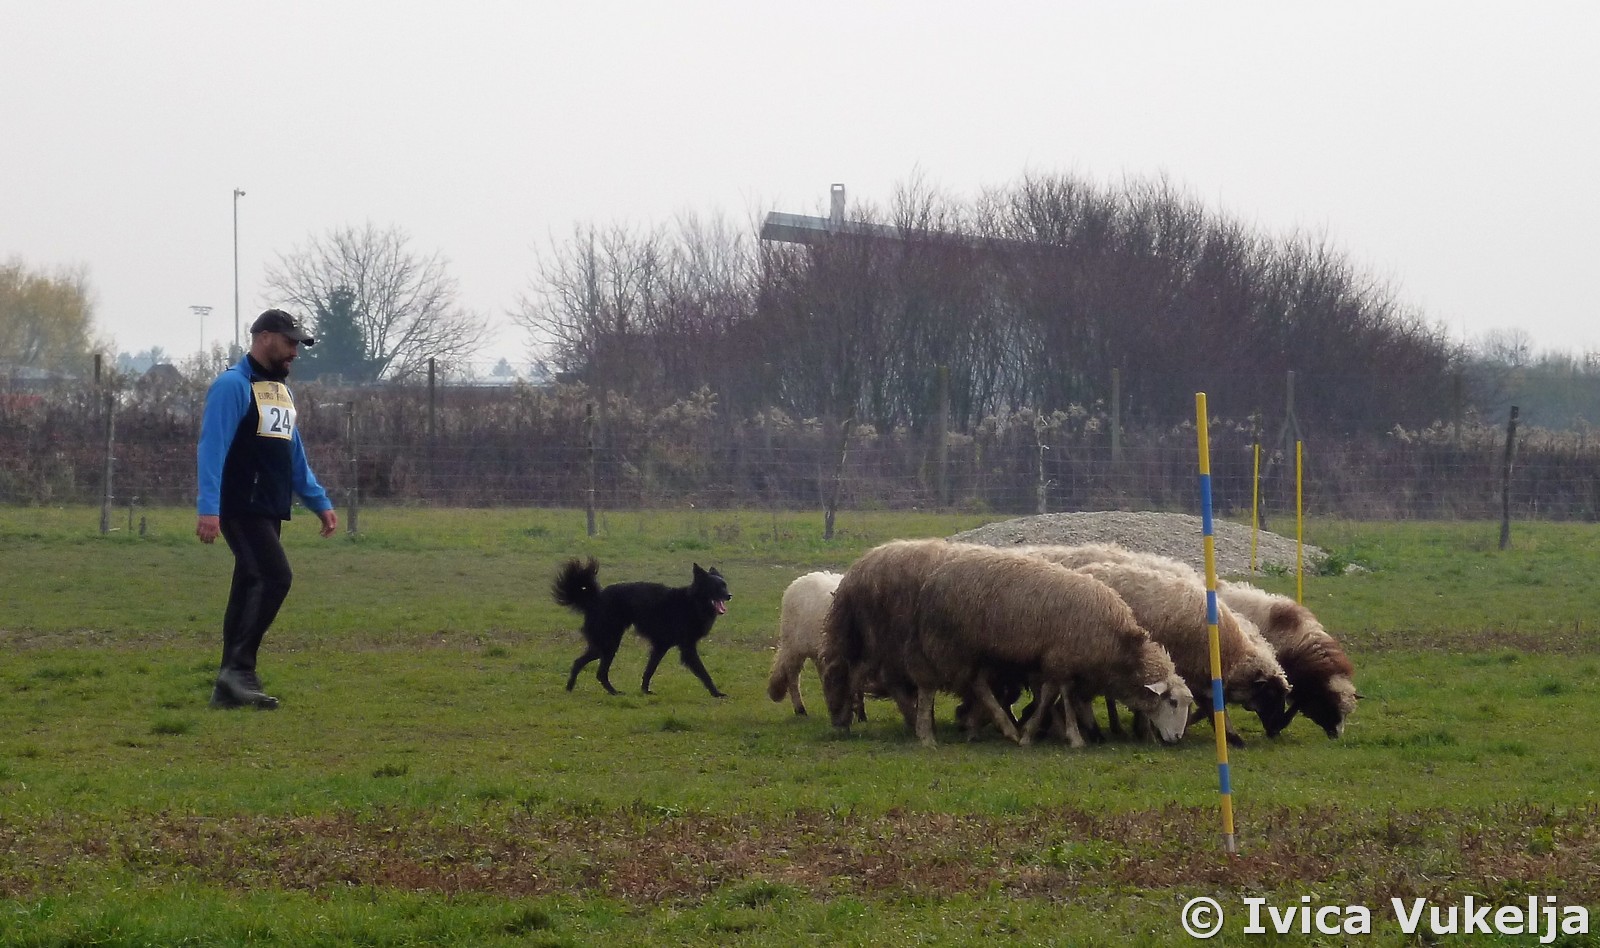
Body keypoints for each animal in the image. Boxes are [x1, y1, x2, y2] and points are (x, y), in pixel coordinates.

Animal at [552, 557, 732, 697]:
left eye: (725, 585)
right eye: (716, 587)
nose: (730, 595)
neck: (692, 602)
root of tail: (594, 599)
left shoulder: (660, 647)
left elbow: (649, 670)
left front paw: (645, 690)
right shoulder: (687, 648)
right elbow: (704, 673)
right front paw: (716, 693)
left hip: (603, 645)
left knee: (586, 666)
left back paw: (577, 689)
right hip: (608, 644)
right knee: (595, 670)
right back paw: (607, 691)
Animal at [906, 546, 1194, 749]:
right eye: (1172, 702)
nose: (1177, 737)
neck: (1119, 641)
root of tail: (932, 579)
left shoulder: (1058, 662)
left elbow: (1050, 695)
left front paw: (1033, 731)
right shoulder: (1061, 659)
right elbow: (1060, 696)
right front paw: (1071, 737)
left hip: (981, 652)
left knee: (978, 684)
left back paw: (995, 727)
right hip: (951, 644)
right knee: (935, 685)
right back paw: (931, 734)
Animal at [1027, 554, 1293, 746]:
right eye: (1270, 695)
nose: (1277, 729)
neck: (1230, 652)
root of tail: (1085, 570)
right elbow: (1211, 708)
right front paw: (1232, 737)